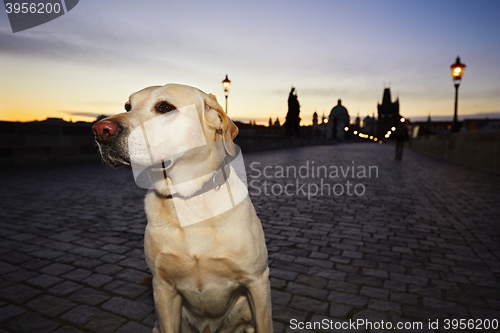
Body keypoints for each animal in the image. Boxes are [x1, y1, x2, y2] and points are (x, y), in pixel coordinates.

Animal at [94, 83, 274, 332]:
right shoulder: (163, 288)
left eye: (165, 107)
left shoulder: (257, 281)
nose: (100, 130)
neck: (187, 198)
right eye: (128, 106)